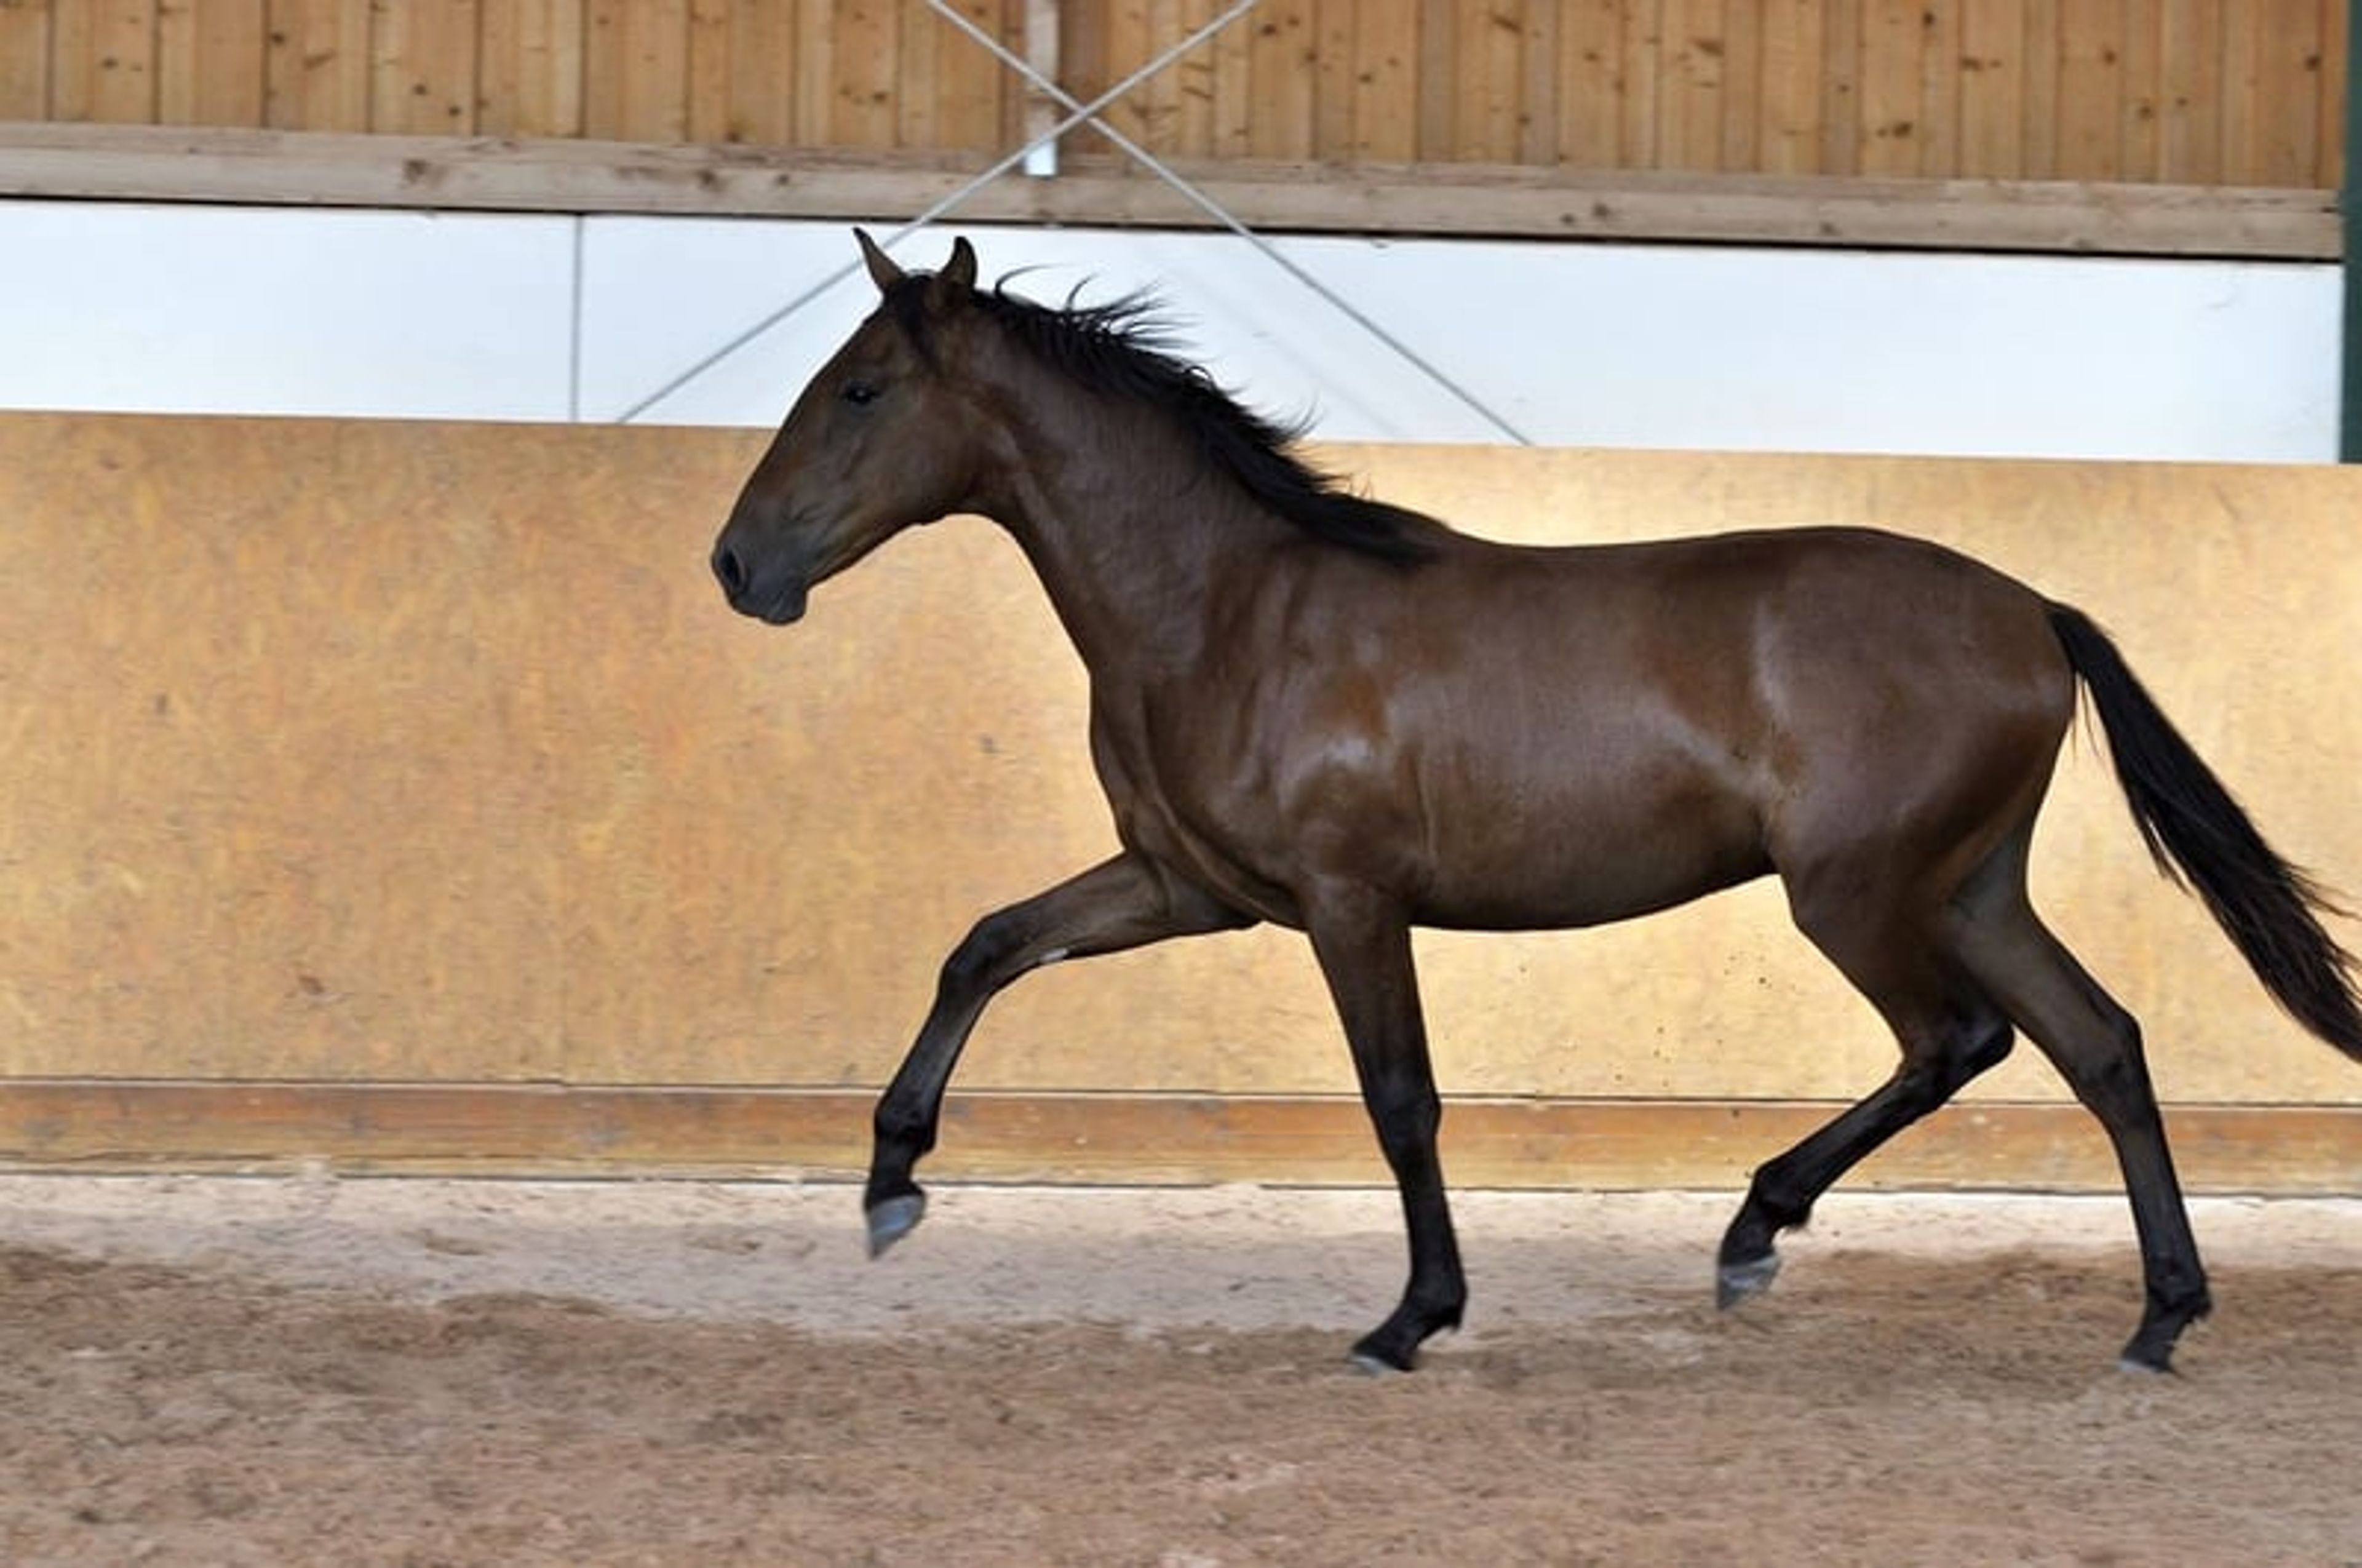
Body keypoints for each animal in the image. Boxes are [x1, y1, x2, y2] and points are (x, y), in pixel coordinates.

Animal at [711, 230, 2361, 1375]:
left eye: (859, 388)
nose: (738, 565)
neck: (1229, 607)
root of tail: (2034, 612)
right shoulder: (1189, 889)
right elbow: (986, 943)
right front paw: (889, 1184)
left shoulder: (1349, 902)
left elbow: (1400, 1100)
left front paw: (1411, 1318)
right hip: (1969, 884)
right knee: (2101, 1045)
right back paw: (2157, 1318)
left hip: (1859, 893)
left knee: (1959, 1039)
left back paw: (1755, 1232)